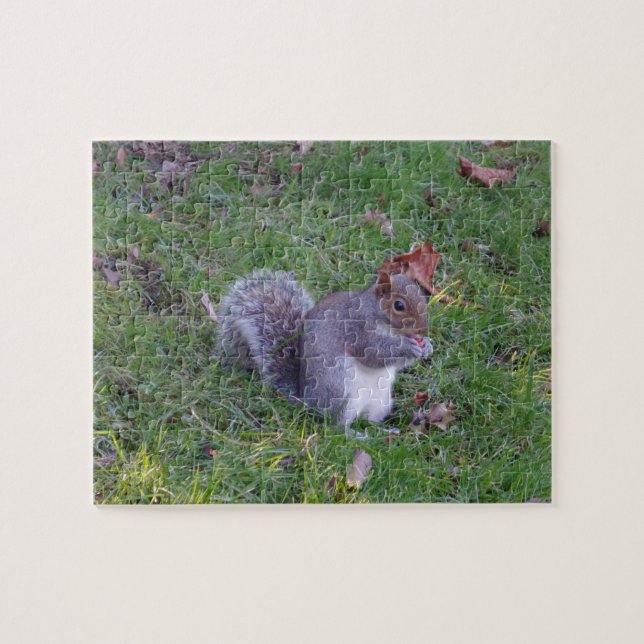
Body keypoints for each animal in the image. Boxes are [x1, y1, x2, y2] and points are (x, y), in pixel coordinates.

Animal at [216, 269, 433, 434]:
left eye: (422, 297)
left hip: (380, 402)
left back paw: (385, 431)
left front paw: (427, 345)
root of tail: (306, 398)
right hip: (339, 393)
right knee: (337, 426)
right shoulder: (357, 329)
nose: (423, 330)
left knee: (369, 420)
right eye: (399, 305)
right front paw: (407, 347)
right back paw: (355, 435)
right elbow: (373, 353)